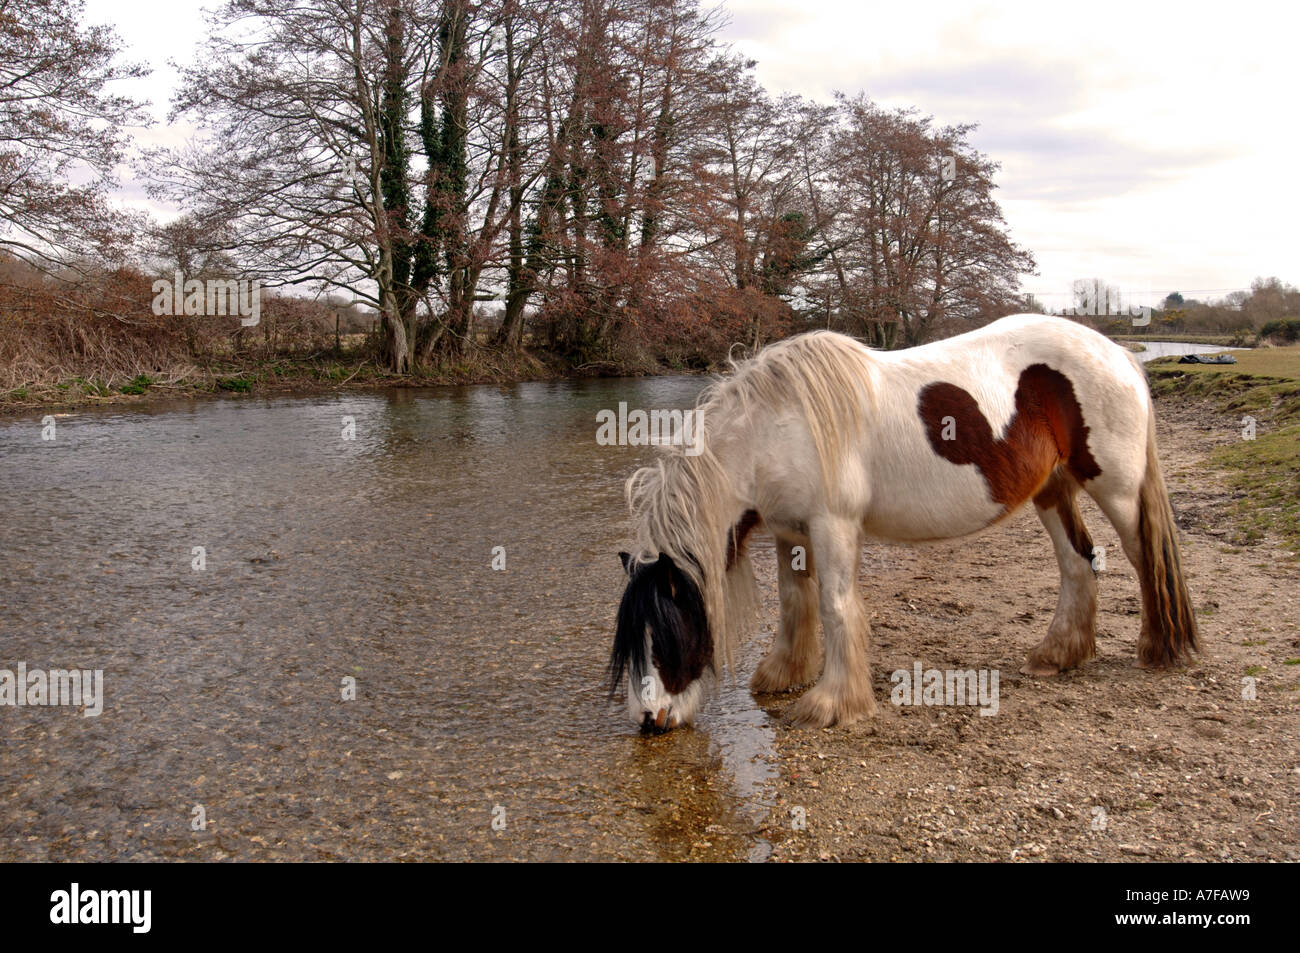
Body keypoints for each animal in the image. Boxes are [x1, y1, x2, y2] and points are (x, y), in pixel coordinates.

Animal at [608, 314, 1199, 732]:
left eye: (664, 634)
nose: (649, 721)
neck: (774, 428)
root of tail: (1116, 352)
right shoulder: (789, 531)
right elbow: (796, 603)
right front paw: (784, 675)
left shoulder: (833, 525)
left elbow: (835, 605)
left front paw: (832, 703)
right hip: (1051, 490)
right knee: (1077, 563)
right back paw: (1057, 655)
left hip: (1116, 488)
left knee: (1145, 558)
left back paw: (1158, 649)